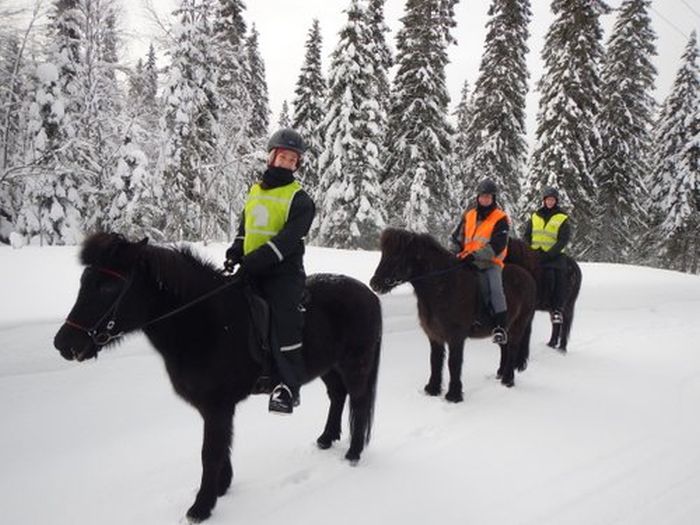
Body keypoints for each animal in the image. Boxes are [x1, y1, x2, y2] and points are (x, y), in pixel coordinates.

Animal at [53, 232, 382, 520]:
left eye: (108, 287)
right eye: (84, 281)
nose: (63, 344)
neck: (205, 322)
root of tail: (367, 293)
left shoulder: (218, 405)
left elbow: (209, 453)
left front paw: (201, 507)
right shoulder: (214, 408)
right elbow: (222, 447)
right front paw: (222, 488)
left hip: (354, 363)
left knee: (358, 401)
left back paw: (353, 453)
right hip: (330, 367)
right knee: (338, 395)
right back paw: (326, 439)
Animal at [372, 227, 536, 400]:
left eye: (396, 255)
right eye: (384, 253)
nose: (374, 283)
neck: (444, 286)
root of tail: (527, 276)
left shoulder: (456, 337)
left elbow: (454, 363)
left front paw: (454, 395)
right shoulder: (434, 335)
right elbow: (435, 361)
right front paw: (432, 389)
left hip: (518, 325)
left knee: (512, 348)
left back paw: (508, 380)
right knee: (504, 348)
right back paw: (500, 374)